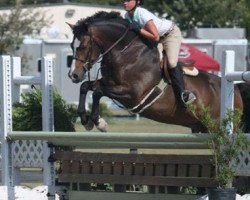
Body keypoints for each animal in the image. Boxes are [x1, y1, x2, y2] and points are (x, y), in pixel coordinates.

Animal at [67, 10, 249, 133]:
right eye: (71, 46)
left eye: (83, 47)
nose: (73, 75)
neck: (125, 52)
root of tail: (235, 88)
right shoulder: (109, 83)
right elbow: (86, 86)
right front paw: (86, 120)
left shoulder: (132, 94)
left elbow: (98, 92)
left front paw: (99, 123)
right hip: (201, 127)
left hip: (219, 127)